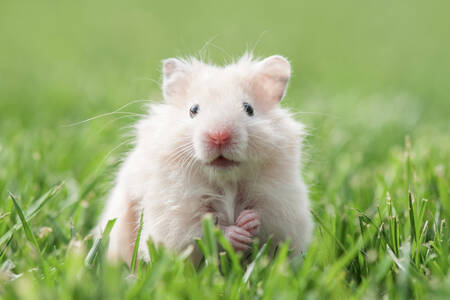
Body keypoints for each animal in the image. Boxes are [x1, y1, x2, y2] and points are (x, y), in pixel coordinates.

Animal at [96, 54, 312, 264]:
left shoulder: (282, 206)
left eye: (249, 108)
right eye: (193, 109)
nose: (220, 136)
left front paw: (248, 220)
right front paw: (235, 234)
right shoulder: (175, 215)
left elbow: (268, 220)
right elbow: (200, 231)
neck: (226, 179)